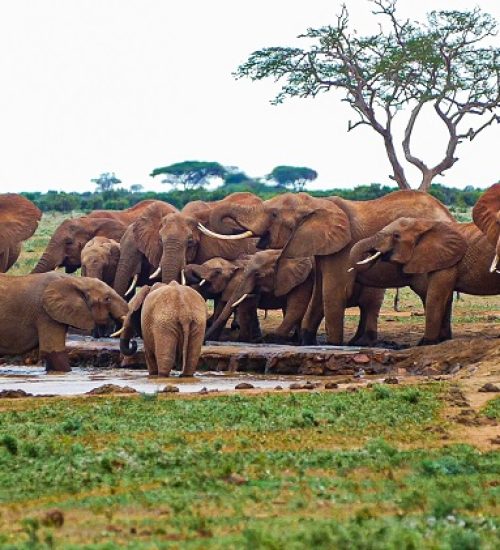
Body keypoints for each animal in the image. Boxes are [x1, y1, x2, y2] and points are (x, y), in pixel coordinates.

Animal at [201, 190, 456, 344]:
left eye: (273, 214)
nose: (207, 339)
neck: (317, 202)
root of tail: (449, 215)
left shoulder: (343, 247)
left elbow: (333, 292)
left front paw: (333, 344)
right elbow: (318, 294)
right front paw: (307, 342)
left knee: (428, 291)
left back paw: (428, 342)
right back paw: (441, 340)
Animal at [348, 219, 500, 344]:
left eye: (396, 236)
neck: (426, 224)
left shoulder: (447, 261)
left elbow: (435, 296)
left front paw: (426, 343)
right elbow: (444, 298)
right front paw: (442, 340)